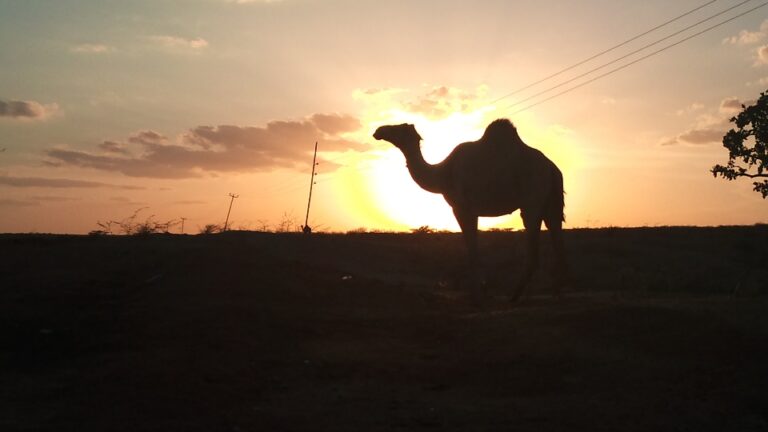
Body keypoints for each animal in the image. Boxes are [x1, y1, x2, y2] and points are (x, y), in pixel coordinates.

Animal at [373, 119, 567, 301]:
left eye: (398, 128)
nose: (378, 130)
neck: (444, 173)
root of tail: (552, 169)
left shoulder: (463, 208)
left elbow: (472, 250)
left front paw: (476, 296)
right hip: (551, 204)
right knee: (557, 240)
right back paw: (556, 295)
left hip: (532, 200)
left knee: (535, 248)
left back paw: (516, 296)